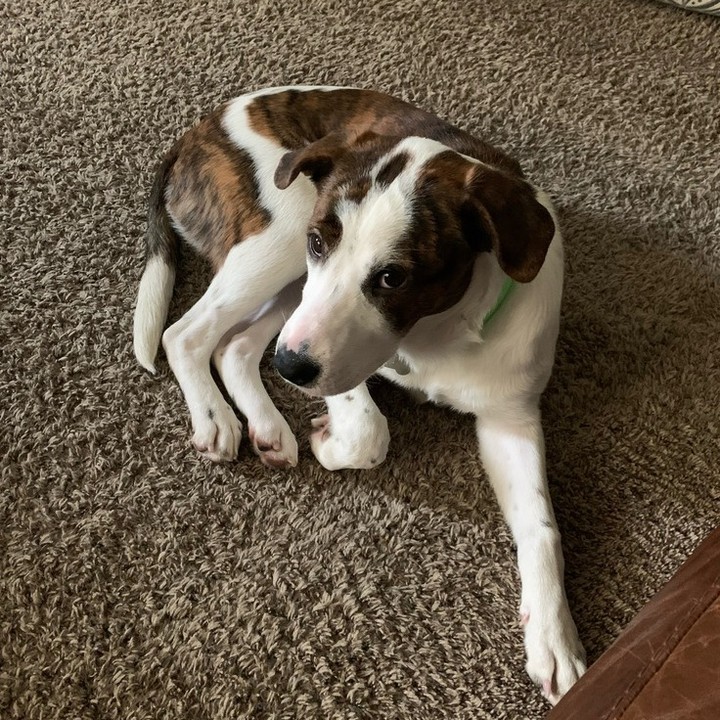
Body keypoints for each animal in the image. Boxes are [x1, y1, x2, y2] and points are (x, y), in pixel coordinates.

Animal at [132, 86, 588, 704]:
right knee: (187, 334)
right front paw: (331, 441)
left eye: (394, 277)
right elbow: (370, 429)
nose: (290, 368)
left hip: (289, 284)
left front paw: (553, 637)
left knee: (235, 347)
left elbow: (542, 528)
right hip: (282, 239)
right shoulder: (329, 344)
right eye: (320, 243)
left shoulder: (510, 420)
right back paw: (216, 418)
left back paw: (268, 426)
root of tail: (199, 129)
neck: (435, 334)